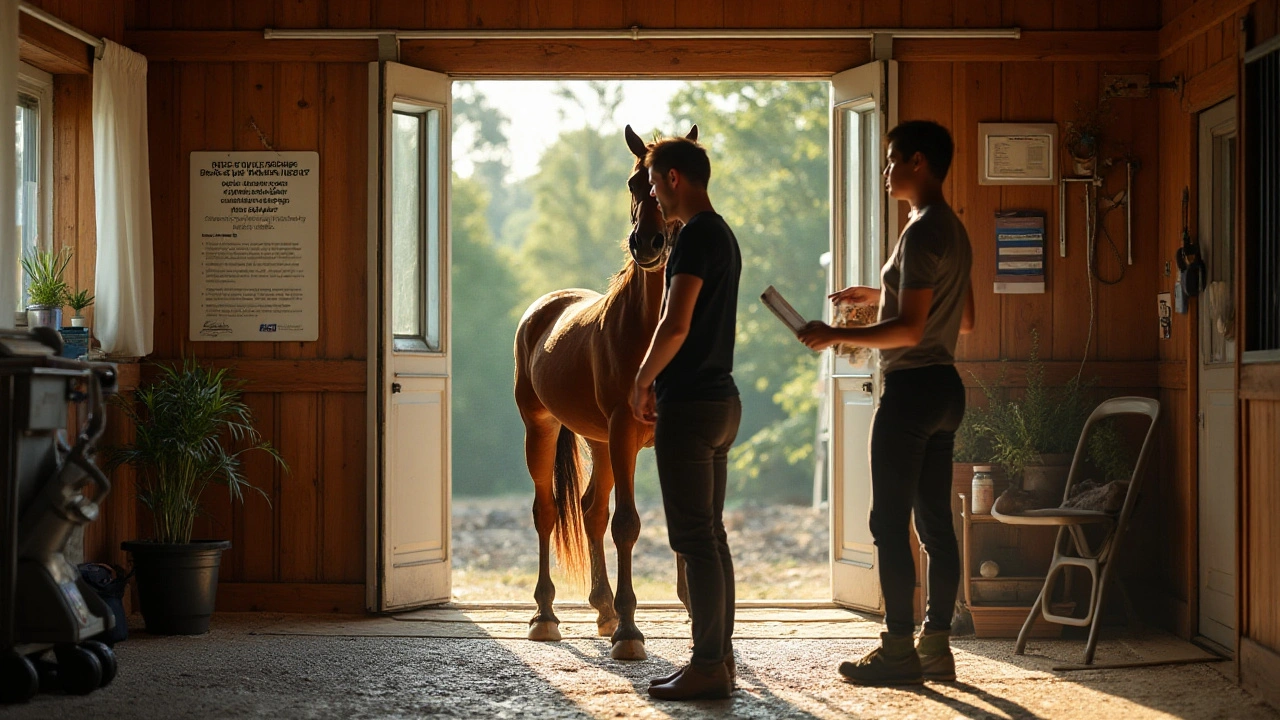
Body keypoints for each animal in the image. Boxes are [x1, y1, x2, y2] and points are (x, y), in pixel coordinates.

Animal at [509, 121, 701, 655]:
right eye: (636, 184)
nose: (648, 244)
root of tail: (544, 309)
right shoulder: (625, 434)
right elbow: (628, 525)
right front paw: (632, 633)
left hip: (600, 441)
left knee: (590, 510)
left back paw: (603, 609)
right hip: (544, 430)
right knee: (548, 512)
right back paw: (546, 615)